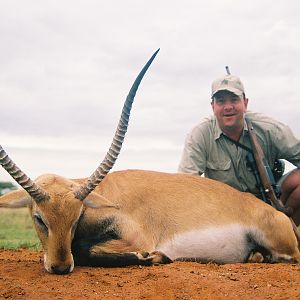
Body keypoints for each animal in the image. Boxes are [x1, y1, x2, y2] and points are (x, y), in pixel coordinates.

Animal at [0, 49, 300, 274]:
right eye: (39, 218)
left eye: (76, 218)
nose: (60, 267)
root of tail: (276, 214)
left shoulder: (135, 238)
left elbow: (85, 251)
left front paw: (155, 257)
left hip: (284, 248)